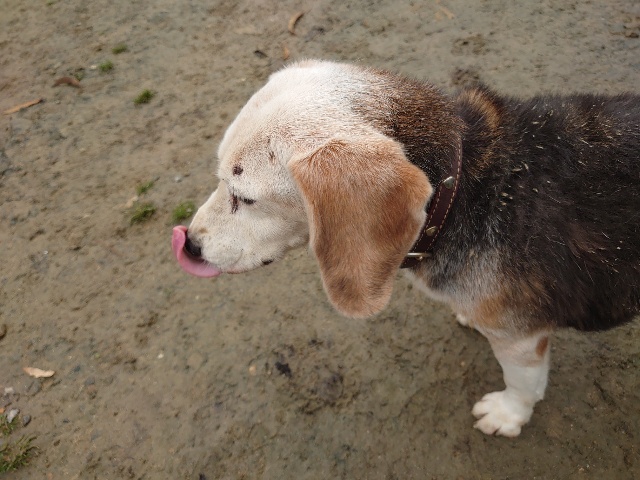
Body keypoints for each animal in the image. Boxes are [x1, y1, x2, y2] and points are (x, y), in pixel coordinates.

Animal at [172, 60, 640, 437]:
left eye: (245, 197)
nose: (190, 244)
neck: (467, 185)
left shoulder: (522, 338)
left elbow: (523, 383)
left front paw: (508, 415)